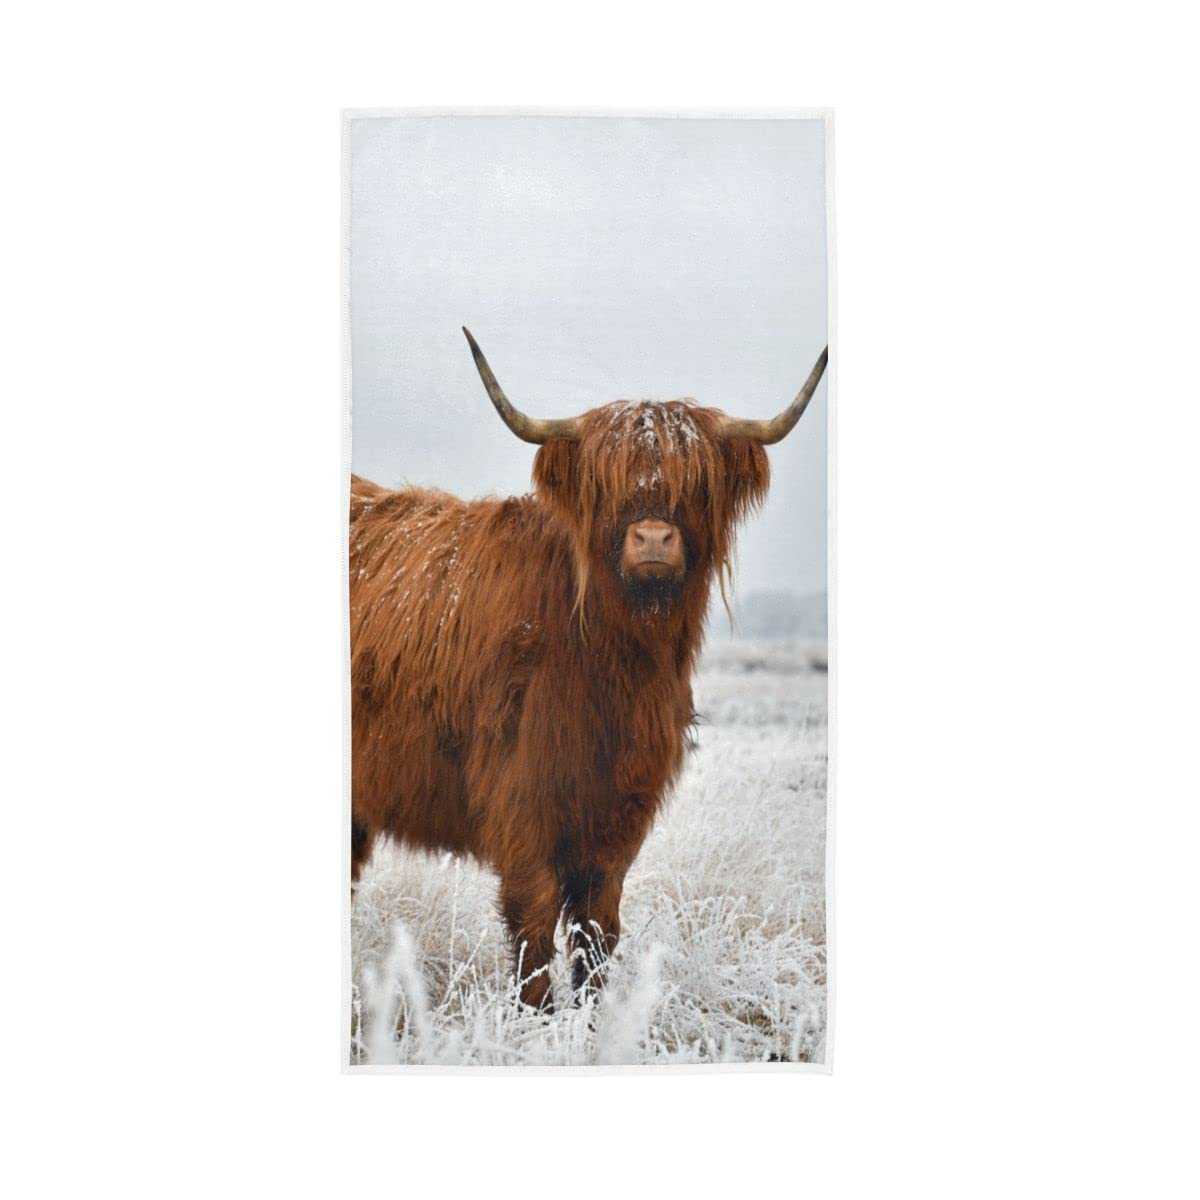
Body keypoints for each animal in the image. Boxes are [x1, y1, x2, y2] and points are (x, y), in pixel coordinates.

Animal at [350, 328, 828, 1010]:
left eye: (696, 483)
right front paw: (537, 1021)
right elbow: (533, 928)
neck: (612, 666)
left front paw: (592, 1020)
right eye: (609, 484)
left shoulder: (619, 813)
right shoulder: (522, 801)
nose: (652, 539)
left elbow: (597, 931)